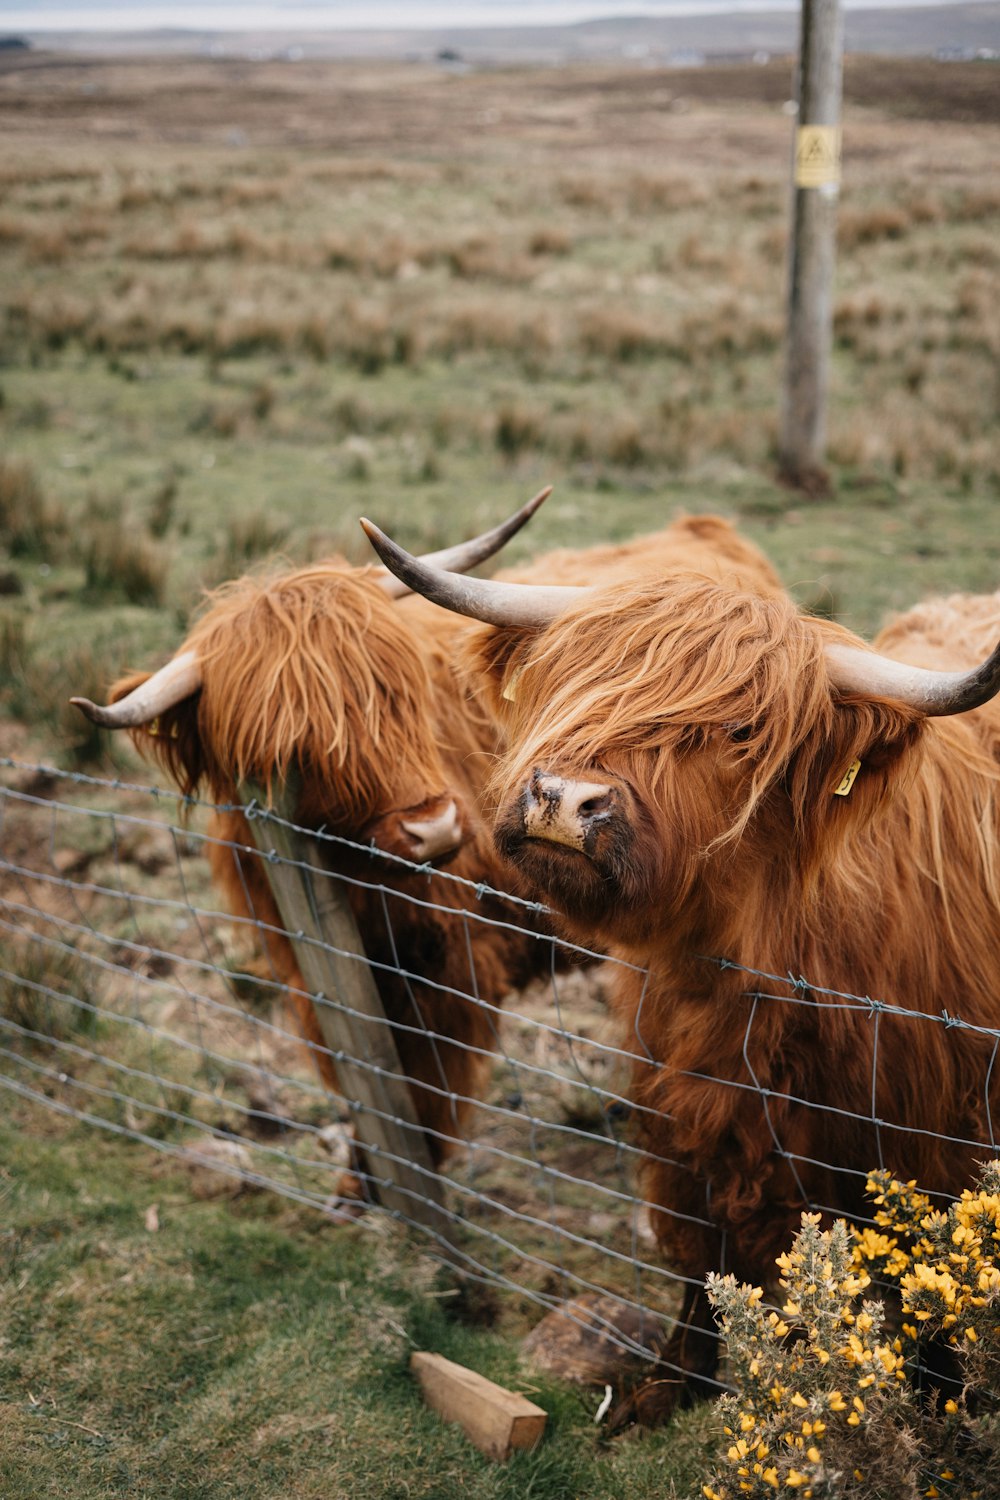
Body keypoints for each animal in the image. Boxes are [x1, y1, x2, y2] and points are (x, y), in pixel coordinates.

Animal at [364, 522, 1000, 1422]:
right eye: (570, 678)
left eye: (737, 732)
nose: (564, 798)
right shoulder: (689, 1114)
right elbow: (704, 1263)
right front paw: (662, 1390)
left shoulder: (934, 1149)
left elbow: (936, 1308)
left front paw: (945, 1408)